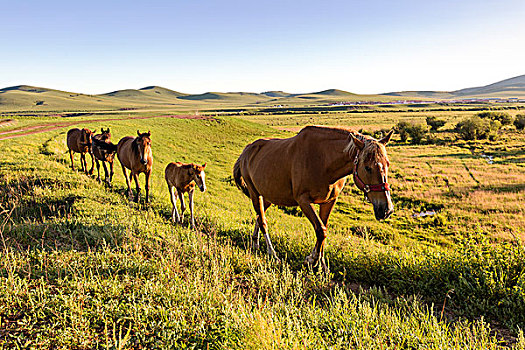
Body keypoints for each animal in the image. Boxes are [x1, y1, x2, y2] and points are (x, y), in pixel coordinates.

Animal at [234, 126, 392, 270]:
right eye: (367, 167)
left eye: (387, 164)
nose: (386, 209)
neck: (323, 161)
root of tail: (247, 151)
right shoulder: (304, 201)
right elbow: (321, 230)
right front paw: (312, 259)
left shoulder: (329, 202)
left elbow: (323, 229)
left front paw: (321, 264)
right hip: (255, 194)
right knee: (263, 221)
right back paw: (272, 253)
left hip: (267, 196)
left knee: (259, 217)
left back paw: (255, 243)